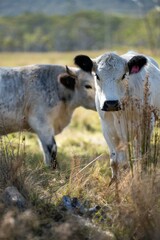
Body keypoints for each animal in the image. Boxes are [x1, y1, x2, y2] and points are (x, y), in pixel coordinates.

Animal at [75, 51, 160, 181]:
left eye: (124, 75)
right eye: (97, 76)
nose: (111, 103)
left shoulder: (145, 126)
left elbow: (141, 156)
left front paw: (140, 176)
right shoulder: (108, 130)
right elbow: (115, 161)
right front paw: (115, 182)